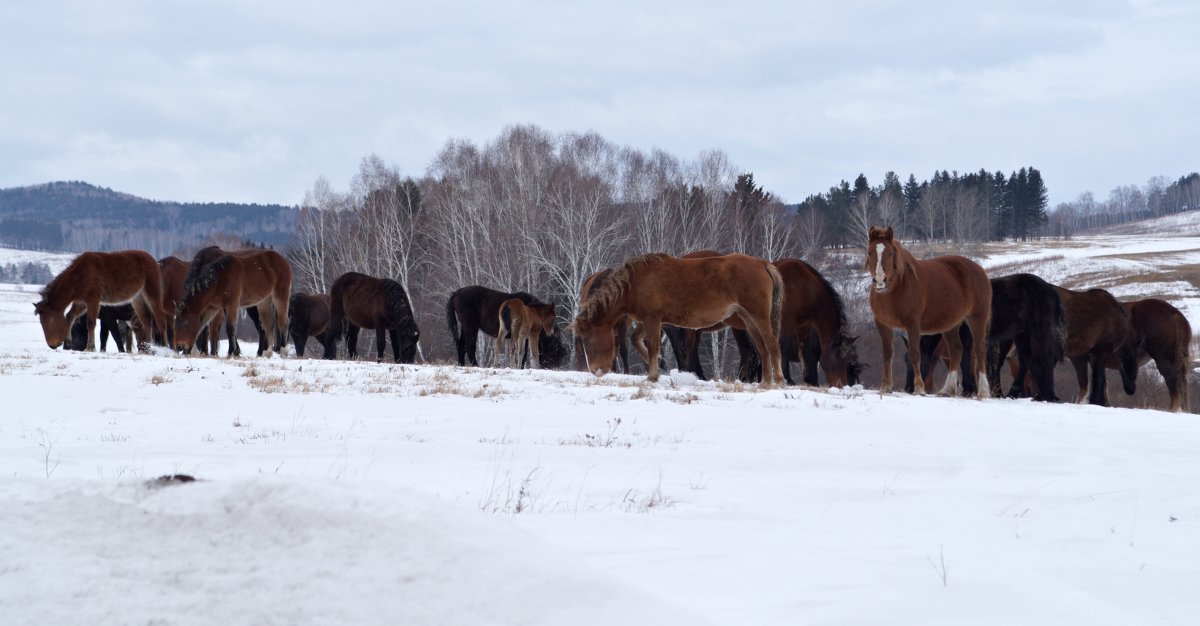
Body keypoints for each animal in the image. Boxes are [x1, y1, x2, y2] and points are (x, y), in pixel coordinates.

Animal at [34, 249, 170, 350]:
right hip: (137, 298)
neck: (80, 274)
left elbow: (90, 322)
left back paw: (165, 345)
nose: (52, 345)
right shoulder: (81, 302)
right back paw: (149, 347)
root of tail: (154, 261)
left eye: (49, 321)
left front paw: (90, 347)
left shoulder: (93, 300)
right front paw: (68, 344)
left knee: (160, 319)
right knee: (146, 320)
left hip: (151, 293)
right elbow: (70, 316)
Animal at [573, 250, 787, 381]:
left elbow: (653, 346)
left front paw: (652, 375)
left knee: (771, 345)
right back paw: (765, 381)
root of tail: (762, 263)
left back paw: (777, 380)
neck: (635, 282)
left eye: (588, 341)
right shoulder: (649, 320)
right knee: (761, 349)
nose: (595, 371)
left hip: (759, 316)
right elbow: (637, 340)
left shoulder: (652, 319)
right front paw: (657, 363)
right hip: (748, 319)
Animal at [868, 226, 988, 398]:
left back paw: (983, 392)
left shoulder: (913, 325)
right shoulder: (882, 324)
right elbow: (887, 354)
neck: (895, 291)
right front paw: (885, 387)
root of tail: (979, 269)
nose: (880, 280)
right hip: (951, 324)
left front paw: (919, 388)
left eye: (890, 253)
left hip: (977, 318)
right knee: (956, 350)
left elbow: (915, 354)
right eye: (869, 253)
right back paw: (947, 390)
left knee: (979, 351)